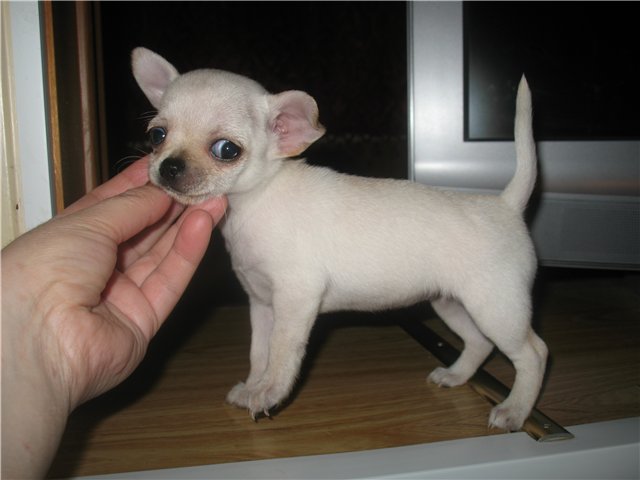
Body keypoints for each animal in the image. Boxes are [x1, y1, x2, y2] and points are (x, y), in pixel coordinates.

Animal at [132, 46, 548, 431]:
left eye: (226, 150)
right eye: (156, 136)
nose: (169, 166)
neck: (255, 201)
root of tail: (506, 205)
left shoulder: (295, 299)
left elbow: (281, 353)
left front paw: (268, 393)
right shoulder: (262, 304)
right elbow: (259, 352)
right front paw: (252, 386)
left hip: (496, 307)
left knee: (533, 353)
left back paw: (515, 410)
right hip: (451, 303)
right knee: (480, 342)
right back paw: (457, 375)